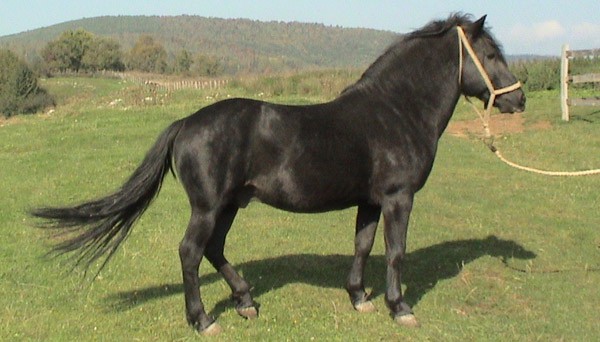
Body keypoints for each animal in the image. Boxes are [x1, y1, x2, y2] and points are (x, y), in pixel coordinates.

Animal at [31, 14, 524, 336]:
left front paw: (359, 298)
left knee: (214, 249)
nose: (518, 100)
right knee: (191, 252)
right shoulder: (398, 197)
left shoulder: (370, 200)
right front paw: (399, 307)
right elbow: (396, 252)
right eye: (490, 53)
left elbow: (363, 246)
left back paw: (246, 302)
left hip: (229, 205)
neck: (394, 110)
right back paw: (203, 320)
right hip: (208, 206)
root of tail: (186, 123)